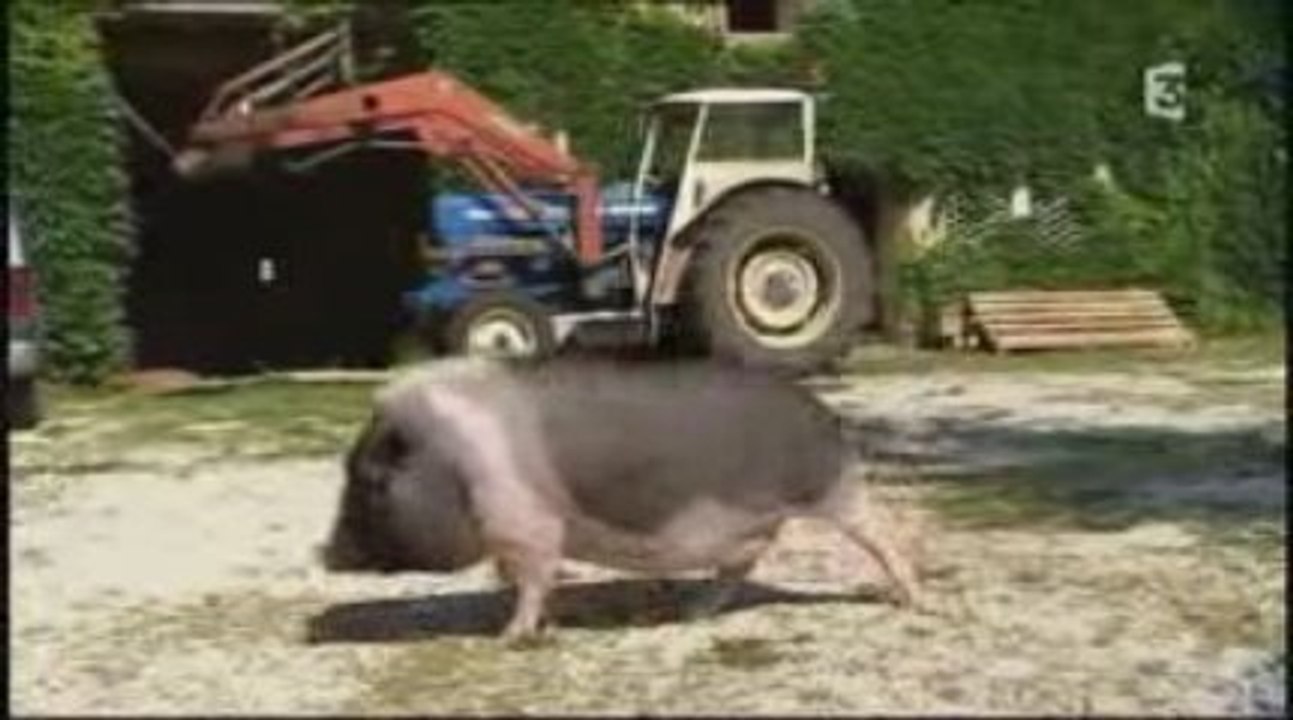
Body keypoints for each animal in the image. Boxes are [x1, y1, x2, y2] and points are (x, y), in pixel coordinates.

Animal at [322, 357, 920, 642]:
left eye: (372, 479)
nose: (323, 553)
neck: (453, 461)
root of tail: (828, 415)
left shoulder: (528, 525)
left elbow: (533, 580)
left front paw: (508, 637)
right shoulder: (521, 535)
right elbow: (525, 580)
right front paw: (536, 624)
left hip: (836, 493)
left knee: (882, 537)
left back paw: (912, 601)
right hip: (756, 526)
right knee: (737, 570)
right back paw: (691, 614)